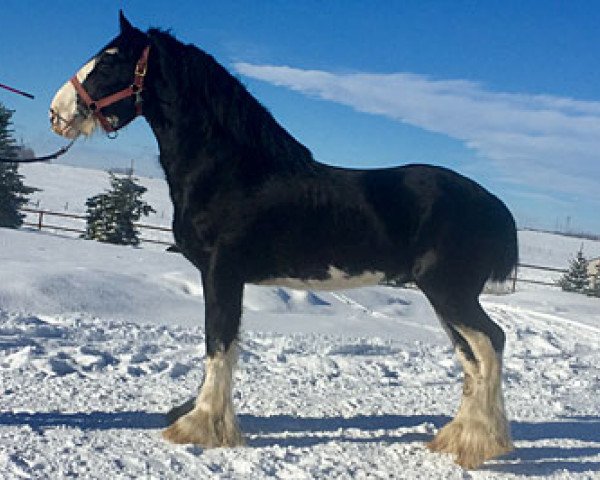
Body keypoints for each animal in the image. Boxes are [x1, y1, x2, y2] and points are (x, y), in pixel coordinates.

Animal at [50, 12, 516, 468]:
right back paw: (457, 438)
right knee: (472, 357)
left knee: (491, 343)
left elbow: (218, 344)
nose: (57, 113)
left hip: (449, 292)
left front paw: (200, 427)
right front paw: (195, 414)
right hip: (442, 297)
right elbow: (217, 344)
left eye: (109, 60)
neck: (231, 171)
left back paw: (477, 443)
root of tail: (495, 207)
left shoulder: (222, 273)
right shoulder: (221, 277)